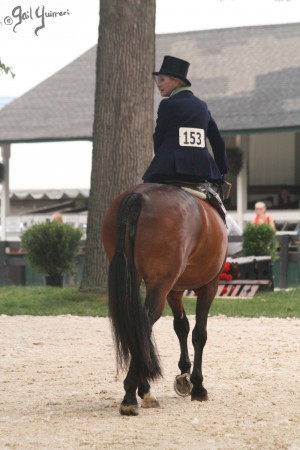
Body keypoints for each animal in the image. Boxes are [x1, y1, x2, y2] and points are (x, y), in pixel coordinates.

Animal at [101, 182, 227, 414]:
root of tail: (140, 195)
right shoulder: (209, 286)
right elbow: (199, 334)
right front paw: (198, 386)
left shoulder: (174, 290)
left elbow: (181, 326)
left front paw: (184, 376)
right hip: (161, 284)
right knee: (144, 322)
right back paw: (131, 394)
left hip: (138, 278)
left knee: (137, 326)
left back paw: (143, 390)